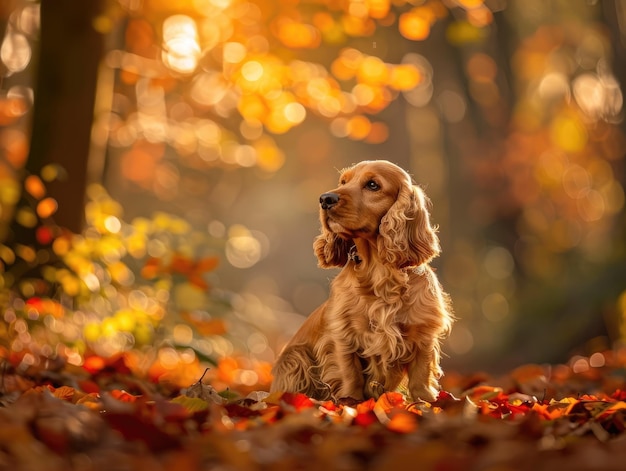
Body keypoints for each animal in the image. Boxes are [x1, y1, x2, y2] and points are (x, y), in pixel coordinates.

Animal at [270, 159, 450, 402]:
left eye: (373, 185)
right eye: (343, 182)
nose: (325, 199)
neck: (380, 271)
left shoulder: (423, 330)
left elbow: (421, 374)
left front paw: (427, 402)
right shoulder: (342, 334)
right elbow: (350, 373)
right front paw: (350, 402)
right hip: (295, 357)